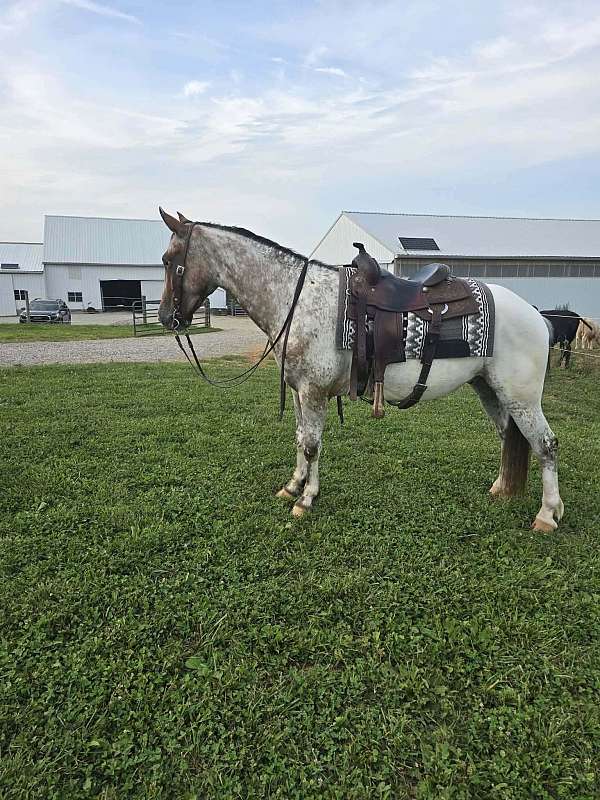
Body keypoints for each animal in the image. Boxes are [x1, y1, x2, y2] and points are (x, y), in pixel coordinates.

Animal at [157, 208, 564, 532]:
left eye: (167, 258)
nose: (165, 317)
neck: (296, 299)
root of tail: (535, 315)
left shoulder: (314, 392)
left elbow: (312, 444)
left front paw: (306, 499)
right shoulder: (298, 391)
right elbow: (300, 439)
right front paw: (293, 486)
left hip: (522, 398)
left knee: (545, 445)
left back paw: (547, 514)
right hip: (490, 390)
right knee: (509, 437)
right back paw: (501, 489)